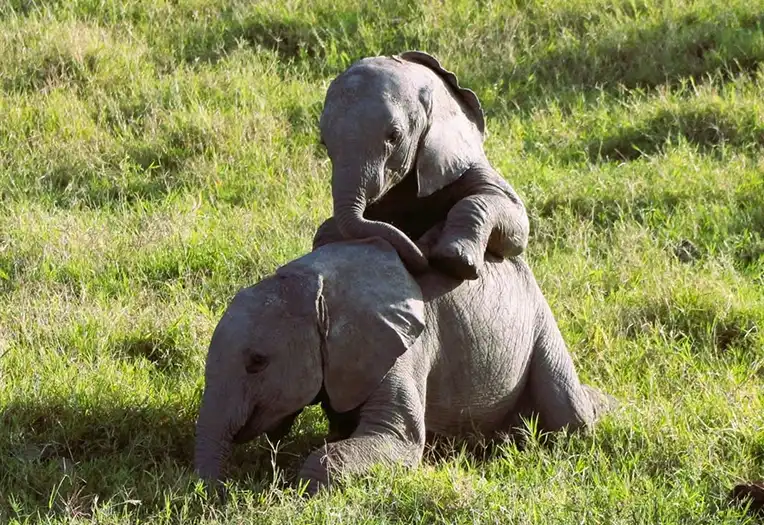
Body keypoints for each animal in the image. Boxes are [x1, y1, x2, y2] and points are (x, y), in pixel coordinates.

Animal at [194, 234, 616, 495]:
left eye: (257, 362)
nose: (220, 492)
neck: (316, 283)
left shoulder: (403, 350)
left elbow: (400, 441)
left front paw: (301, 494)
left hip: (540, 320)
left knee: (571, 415)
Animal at [318, 50, 529, 280]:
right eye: (323, 142)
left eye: (394, 136)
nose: (422, 251)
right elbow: (327, 229)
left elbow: (511, 212)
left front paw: (454, 261)